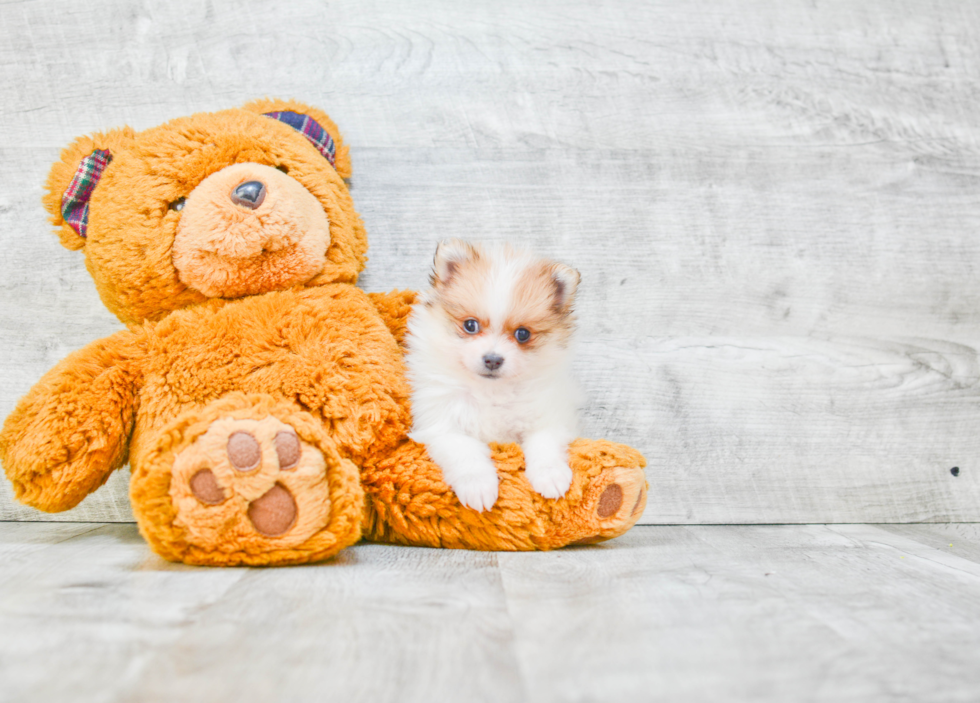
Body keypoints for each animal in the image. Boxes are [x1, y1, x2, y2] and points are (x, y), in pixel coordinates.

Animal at [406, 241, 580, 512]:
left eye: (522, 334)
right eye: (470, 325)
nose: (493, 359)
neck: (490, 391)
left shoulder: (547, 415)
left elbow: (545, 443)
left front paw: (550, 476)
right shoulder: (443, 424)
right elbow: (466, 453)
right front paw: (478, 486)